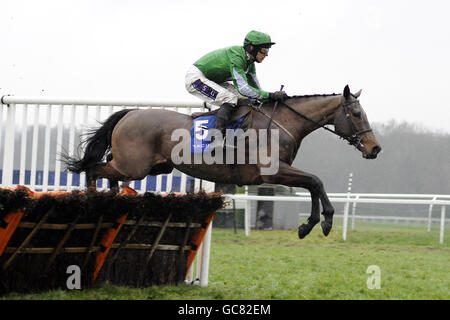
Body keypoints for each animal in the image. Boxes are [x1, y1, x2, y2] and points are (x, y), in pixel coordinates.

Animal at [63, 86, 380, 239]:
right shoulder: (273, 173)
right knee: (94, 168)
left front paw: (310, 224)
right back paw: (93, 202)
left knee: (108, 174)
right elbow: (315, 181)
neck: (282, 123)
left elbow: (314, 184)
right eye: (356, 114)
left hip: (148, 166)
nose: (375, 148)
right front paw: (324, 220)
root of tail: (130, 113)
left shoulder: (280, 173)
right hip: (135, 166)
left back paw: (112, 202)